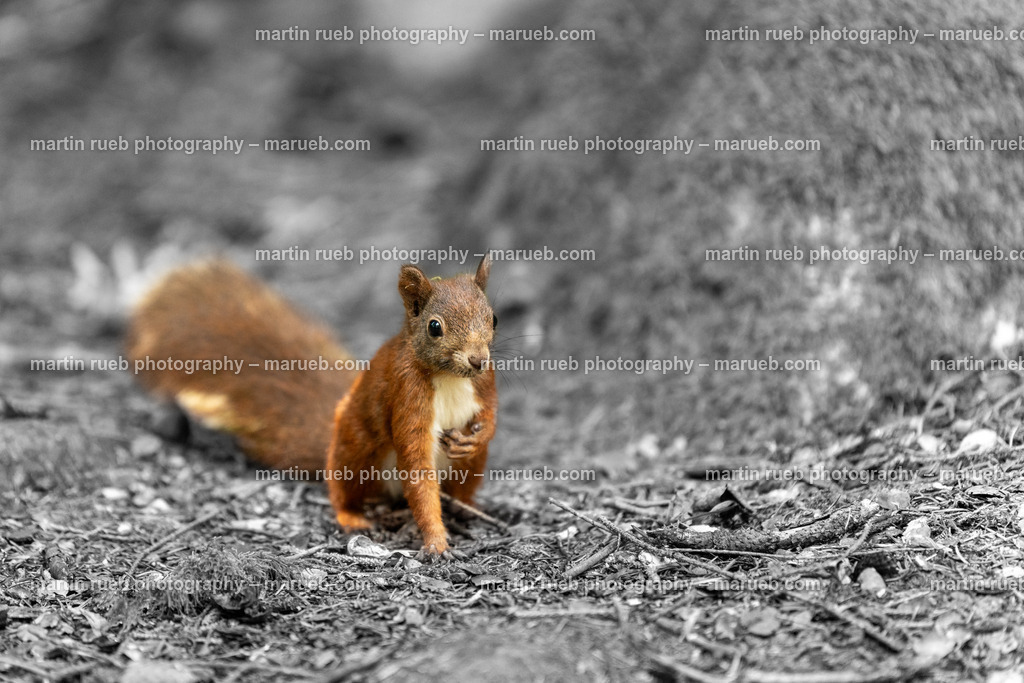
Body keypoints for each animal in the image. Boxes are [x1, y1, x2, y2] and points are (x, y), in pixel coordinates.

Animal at [125, 256, 497, 555]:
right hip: (355, 453)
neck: (450, 377)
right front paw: (436, 541)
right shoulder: (405, 392)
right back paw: (351, 516)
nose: (477, 359)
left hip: (469, 467)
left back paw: (467, 507)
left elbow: (491, 415)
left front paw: (478, 436)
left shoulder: (486, 380)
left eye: (493, 318)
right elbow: (417, 466)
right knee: (341, 489)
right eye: (435, 327)